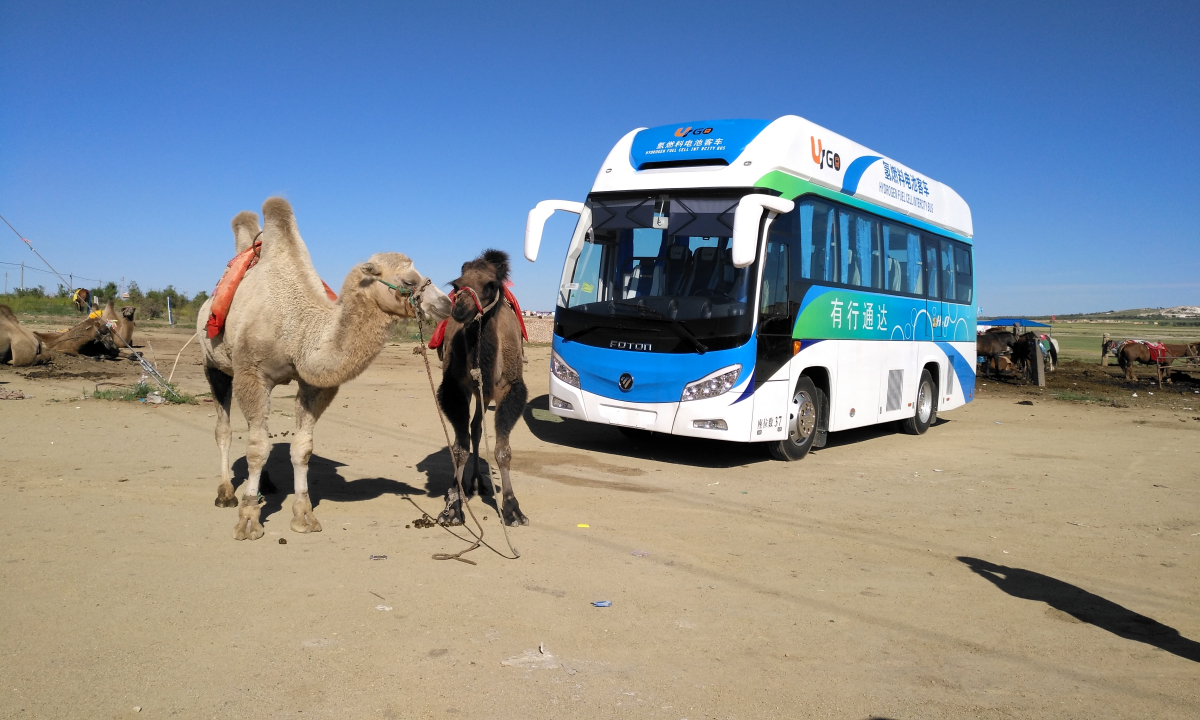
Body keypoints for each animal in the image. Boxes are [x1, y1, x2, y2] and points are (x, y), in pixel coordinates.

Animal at [199, 196, 451, 540]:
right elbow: (256, 448)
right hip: (215, 365)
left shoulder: (313, 384)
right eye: (408, 280)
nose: (447, 304)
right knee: (224, 429)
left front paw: (304, 516)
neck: (298, 329)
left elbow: (301, 448)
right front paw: (249, 520)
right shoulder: (251, 373)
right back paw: (225, 493)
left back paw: (266, 485)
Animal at [432, 250, 525, 525]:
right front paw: (453, 507)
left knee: (477, 428)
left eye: (490, 285)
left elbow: (503, 450)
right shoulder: (455, 388)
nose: (460, 308)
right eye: (456, 285)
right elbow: (459, 448)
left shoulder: (509, 389)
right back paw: (469, 485)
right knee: (473, 429)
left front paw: (511, 508)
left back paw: (477, 484)